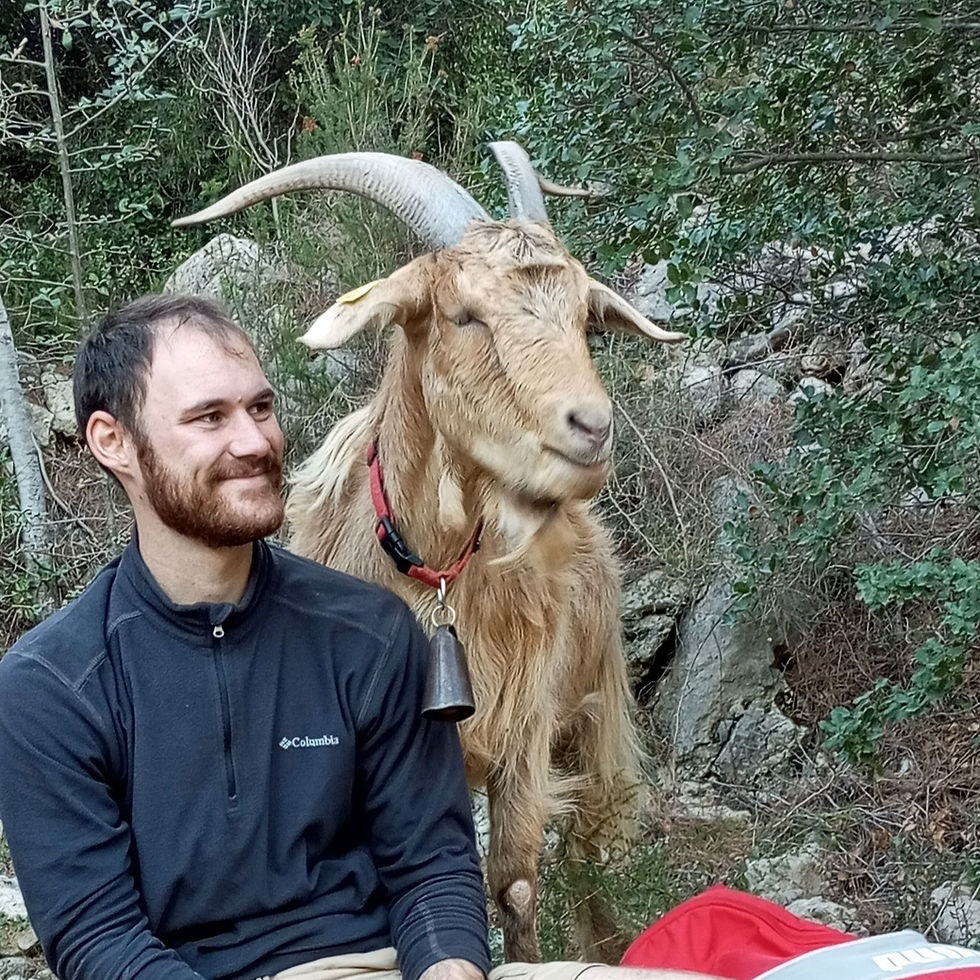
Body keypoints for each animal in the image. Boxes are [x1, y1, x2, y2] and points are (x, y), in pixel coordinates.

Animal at [173, 143, 685, 963]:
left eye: (586, 318)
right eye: (464, 313)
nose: (592, 427)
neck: (437, 573)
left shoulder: (525, 726)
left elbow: (515, 882)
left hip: (590, 700)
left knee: (587, 841)